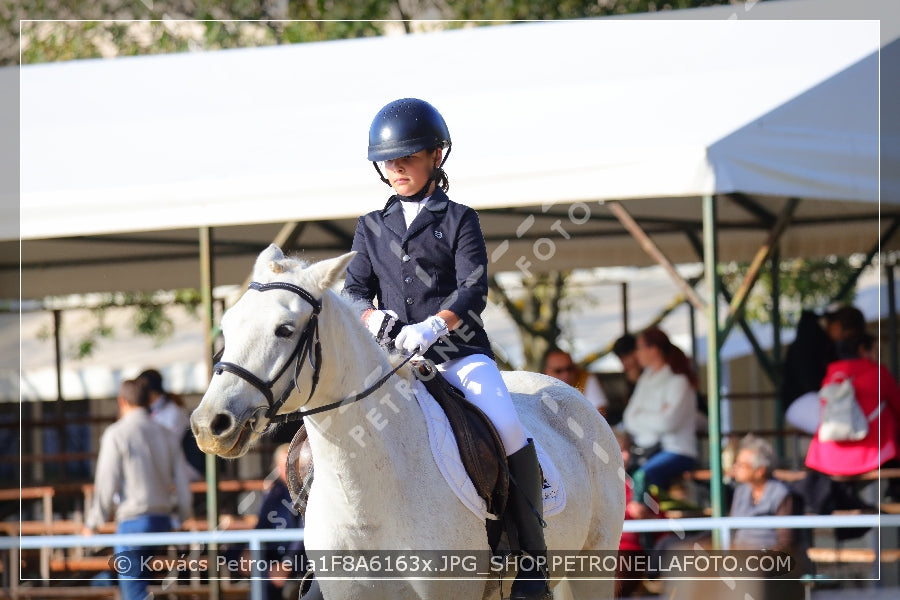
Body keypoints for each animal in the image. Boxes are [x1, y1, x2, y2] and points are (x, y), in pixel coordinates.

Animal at [192, 245, 624, 600]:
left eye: (284, 329)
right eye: (227, 326)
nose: (210, 425)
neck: (367, 494)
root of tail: (566, 390)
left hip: (591, 570)